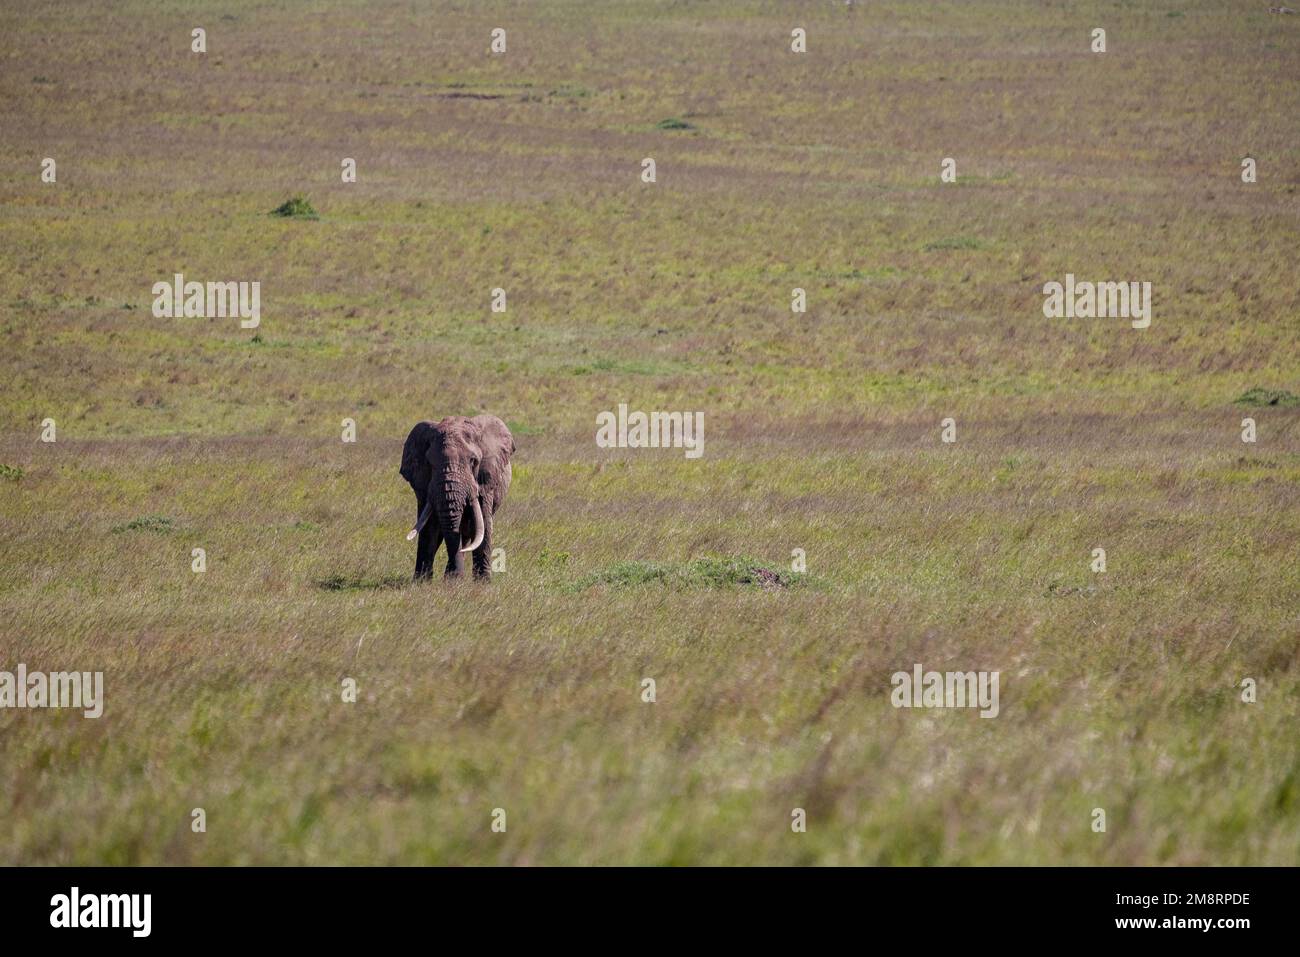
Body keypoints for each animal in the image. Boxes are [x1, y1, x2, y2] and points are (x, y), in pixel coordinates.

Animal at [397, 416, 514, 579]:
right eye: (430, 463)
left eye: (473, 461)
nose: (455, 576)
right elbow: (429, 526)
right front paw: (422, 582)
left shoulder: (485, 479)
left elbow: (482, 522)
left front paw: (482, 582)